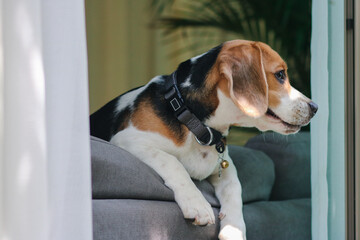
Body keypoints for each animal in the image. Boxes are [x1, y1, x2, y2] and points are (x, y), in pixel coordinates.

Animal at [90, 40, 318, 239]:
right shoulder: (127, 140)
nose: (315, 107)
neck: (193, 120)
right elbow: (172, 162)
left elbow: (235, 187)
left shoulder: (225, 164)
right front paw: (198, 205)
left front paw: (234, 229)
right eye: (280, 75)